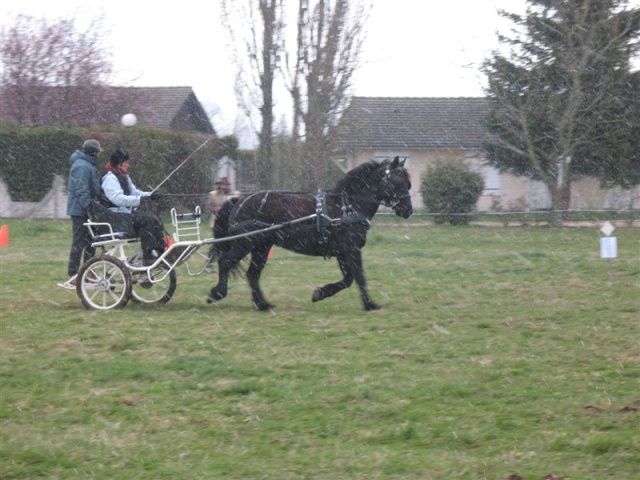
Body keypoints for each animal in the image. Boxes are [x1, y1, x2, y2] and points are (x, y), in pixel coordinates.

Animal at [208, 156, 412, 310]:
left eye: (408, 184)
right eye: (397, 182)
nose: (408, 210)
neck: (348, 206)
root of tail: (240, 199)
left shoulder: (342, 252)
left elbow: (349, 279)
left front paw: (319, 294)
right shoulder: (351, 249)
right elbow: (359, 277)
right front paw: (369, 305)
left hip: (261, 246)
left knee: (252, 274)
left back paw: (262, 304)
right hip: (245, 242)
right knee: (226, 262)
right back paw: (217, 293)